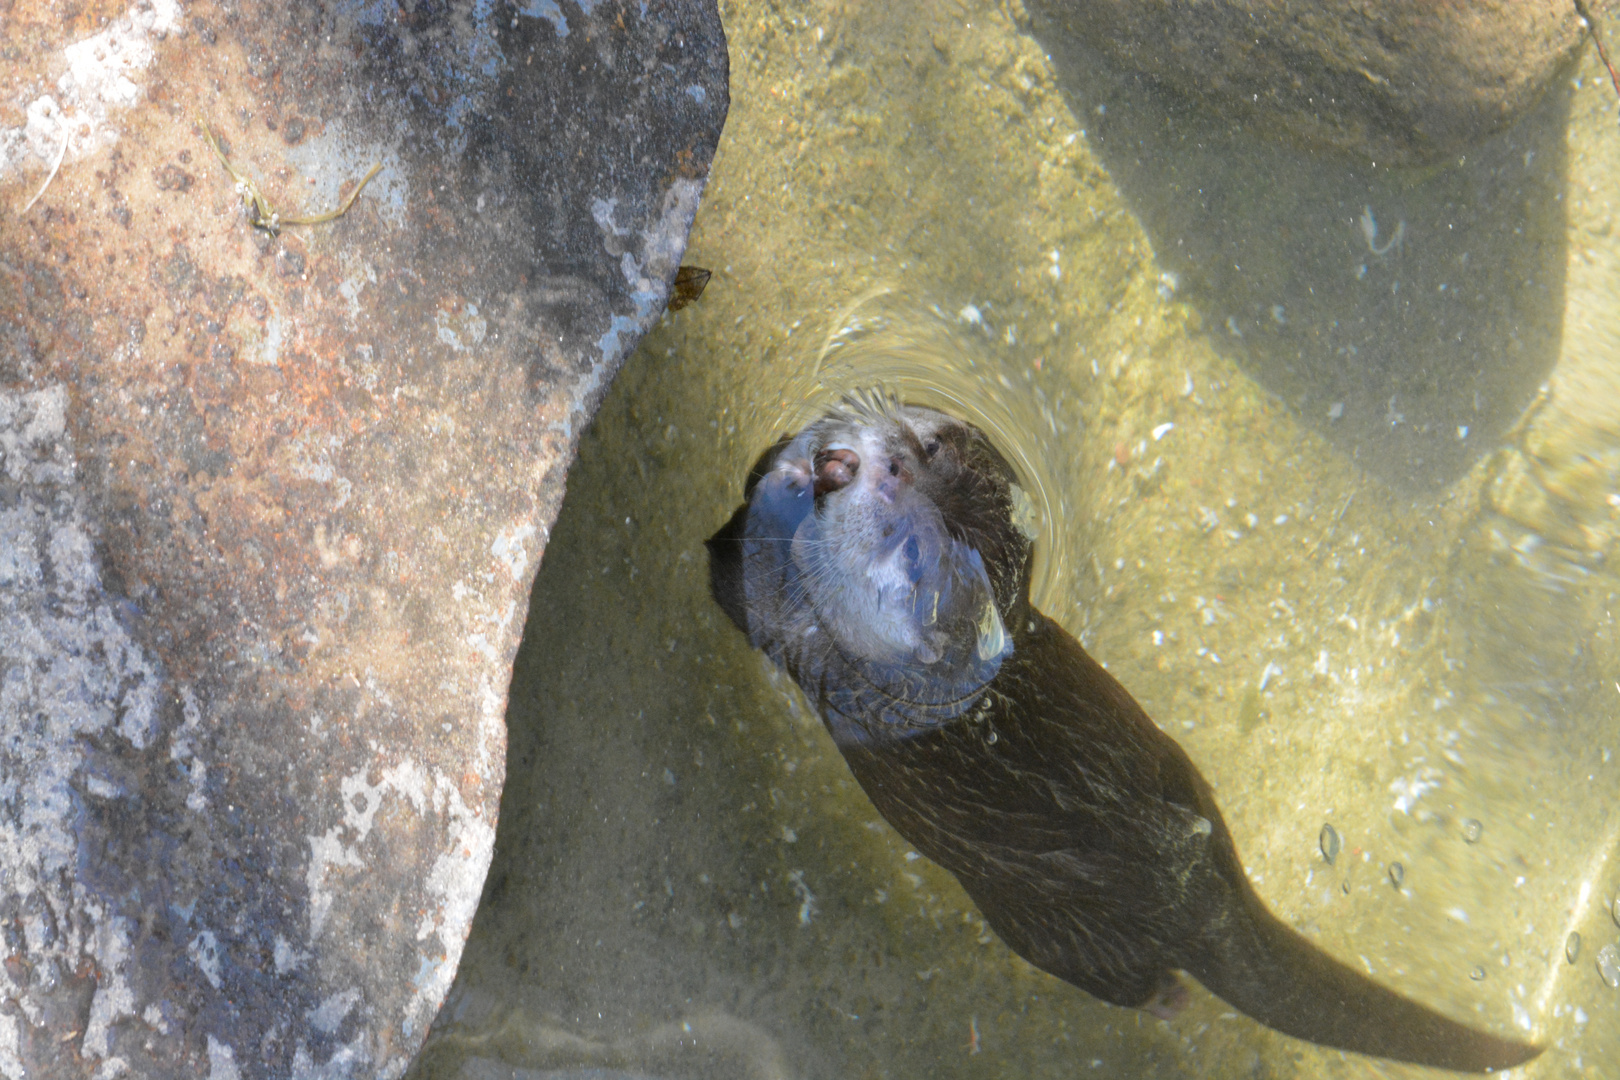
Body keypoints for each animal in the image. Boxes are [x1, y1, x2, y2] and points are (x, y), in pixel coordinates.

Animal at [706, 392, 1540, 1073]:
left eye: (914, 550)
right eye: (925, 441)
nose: (867, 466)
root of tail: (1191, 900)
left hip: (1047, 928)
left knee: (1124, 978)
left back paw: (1169, 998)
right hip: (1174, 771)